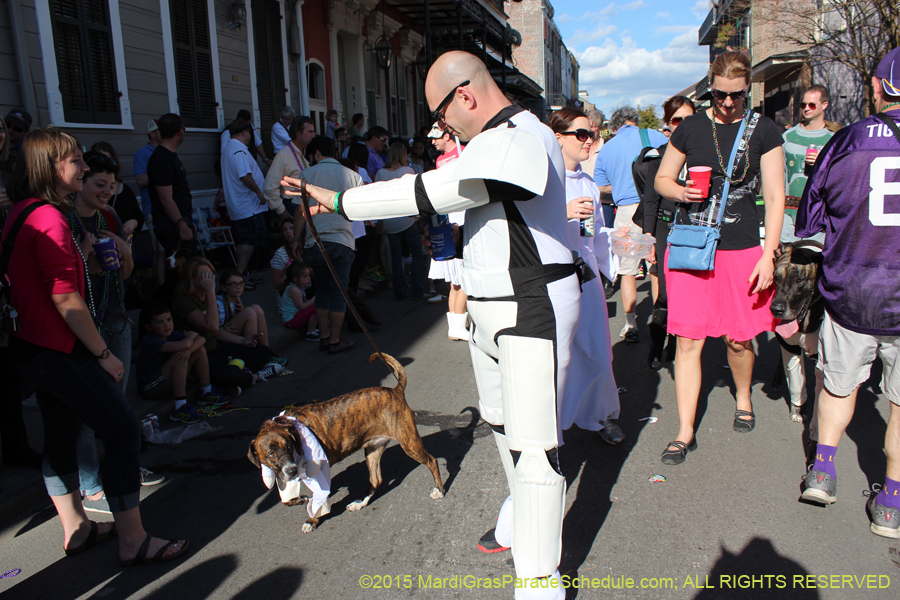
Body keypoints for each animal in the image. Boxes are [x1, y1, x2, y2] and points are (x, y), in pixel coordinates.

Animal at [248, 354, 444, 532]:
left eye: (288, 447)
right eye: (271, 454)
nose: (292, 471)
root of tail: (396, 390)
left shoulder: (317, 472)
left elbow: (318, 501)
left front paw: (312, 520)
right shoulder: (283, 473)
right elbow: (287, 500)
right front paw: (301, 500)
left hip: (409, 444)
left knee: (432, 461)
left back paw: (440, 491)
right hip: (373, 450)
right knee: (376, 480)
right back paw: (359, 503)